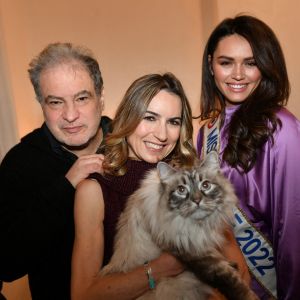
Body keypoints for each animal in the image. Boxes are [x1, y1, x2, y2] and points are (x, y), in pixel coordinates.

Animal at [101, 152, 258, 300]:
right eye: (181, 190)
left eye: (205, 185)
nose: (197, 200)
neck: (197, 225)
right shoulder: (195, 253)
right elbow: (233, 283)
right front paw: (249, 295)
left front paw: (232, 264)